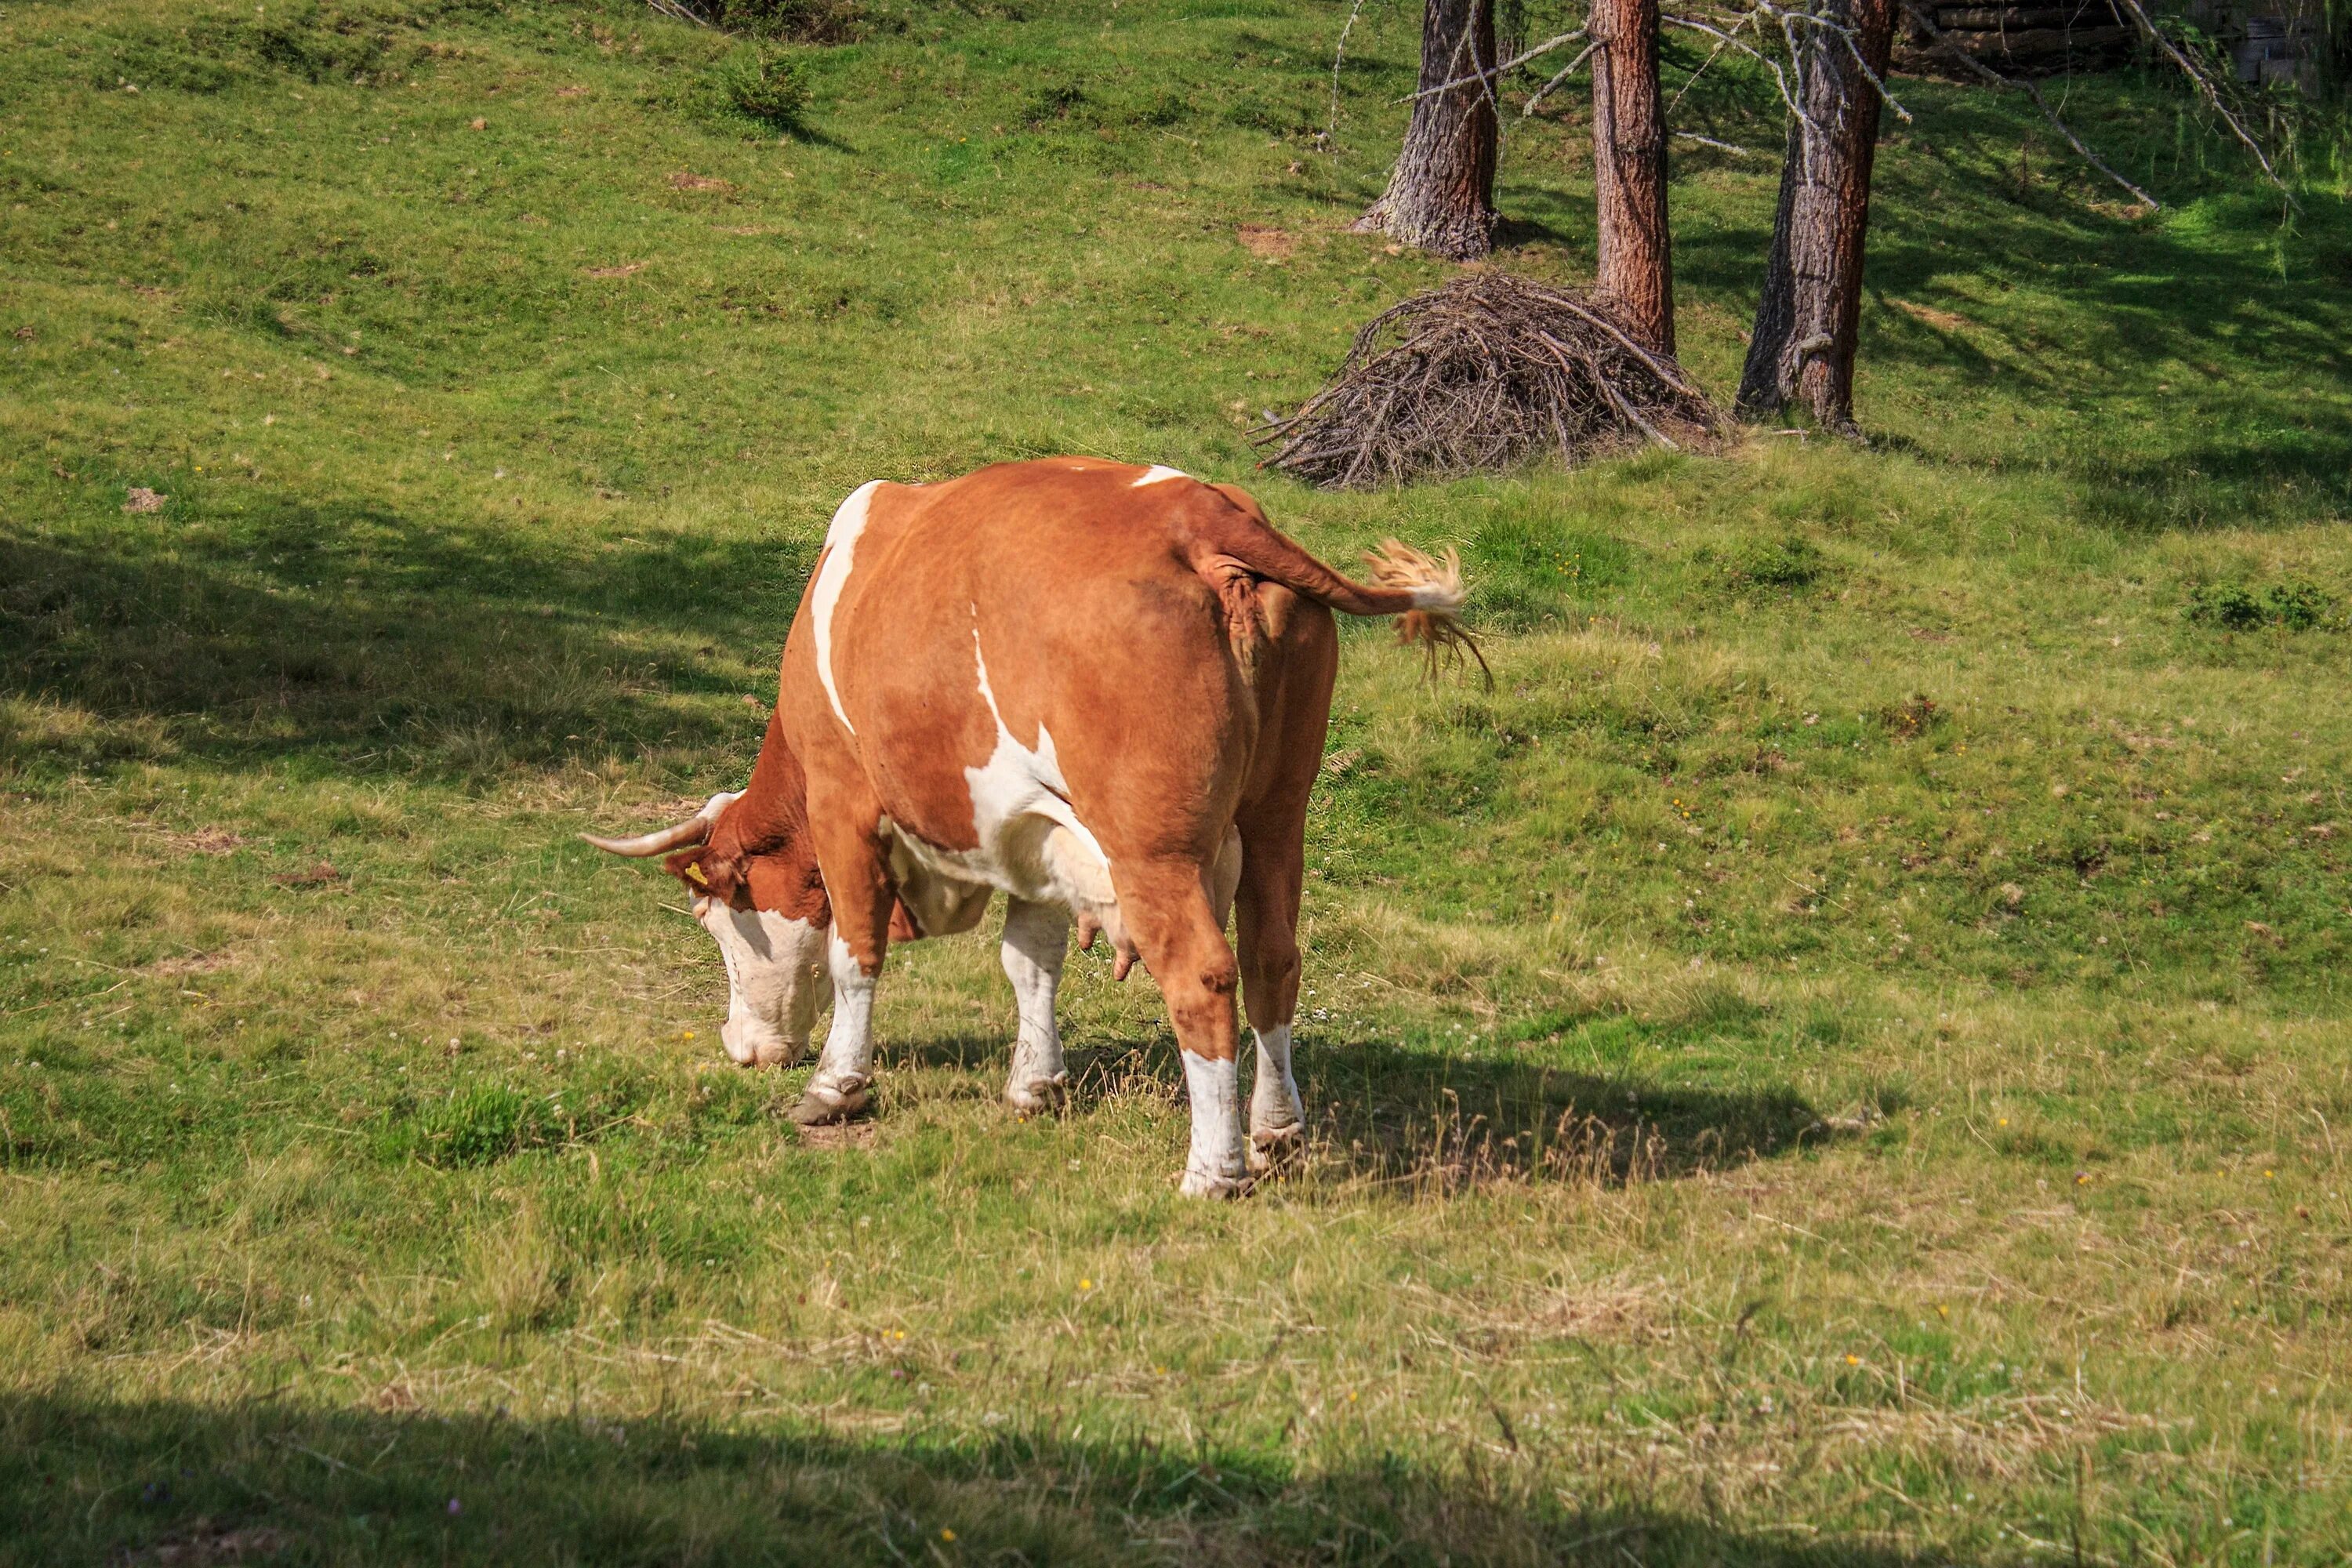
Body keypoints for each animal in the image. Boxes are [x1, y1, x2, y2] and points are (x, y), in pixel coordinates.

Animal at [588, 460, 1468, 1194]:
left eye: (717, 920)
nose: (739, 1046)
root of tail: (1202, 513)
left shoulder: (844, 798)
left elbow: (853, 950)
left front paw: (836, 1084)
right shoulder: (1038, 829)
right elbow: (1030, 962)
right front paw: (1033, 1084)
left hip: (1153, 848)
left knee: (1204, 975)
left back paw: (1212, 1172)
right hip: (1279, 812)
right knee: (1272, 958)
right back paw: (1276, 1132)